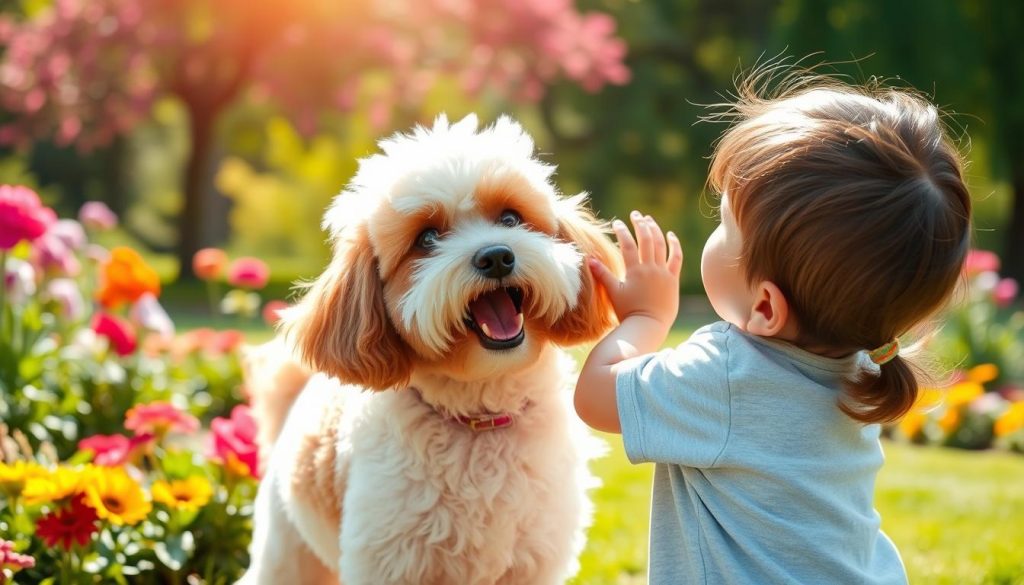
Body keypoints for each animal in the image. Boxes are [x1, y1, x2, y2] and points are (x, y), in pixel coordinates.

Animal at [240, 114, 622, 585]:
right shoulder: (390, 562)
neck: (481, 416)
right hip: (286, 554)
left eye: (510, 218)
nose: (496, 256)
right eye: (426, 238)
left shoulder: (533, 561)